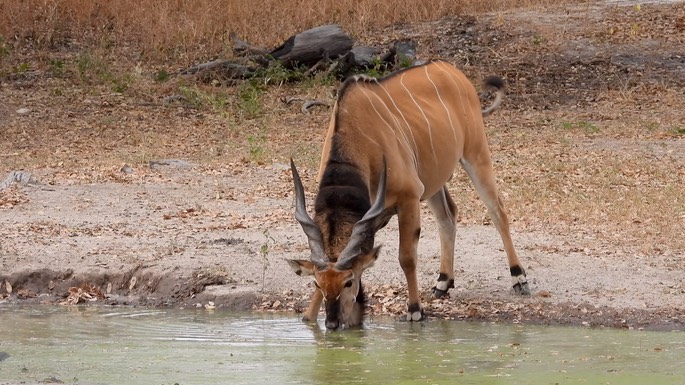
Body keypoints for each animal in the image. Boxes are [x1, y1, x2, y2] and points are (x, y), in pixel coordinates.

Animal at [288, 58, 528, 328]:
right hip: (433, 180)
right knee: (448, 215)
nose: (332, 322)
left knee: (498, 211)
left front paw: (415, 309)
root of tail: (451, 70)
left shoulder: (409, 198)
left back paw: (519, 277)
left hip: (475, 154)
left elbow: (407, 257)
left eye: (349, 282)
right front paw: (309, 317)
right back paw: (443, 282)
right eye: (317, 283)